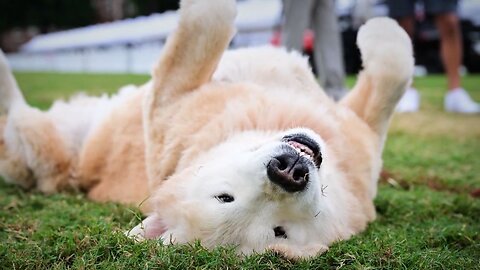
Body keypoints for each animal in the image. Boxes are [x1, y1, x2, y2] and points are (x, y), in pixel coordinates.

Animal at [0, 0, 412, 260]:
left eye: (280, 231)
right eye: (225, 198)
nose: (288, 171)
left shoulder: (359, 133)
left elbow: (393, 73)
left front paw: (380, 31)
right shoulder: (170, 96)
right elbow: (210, 20)